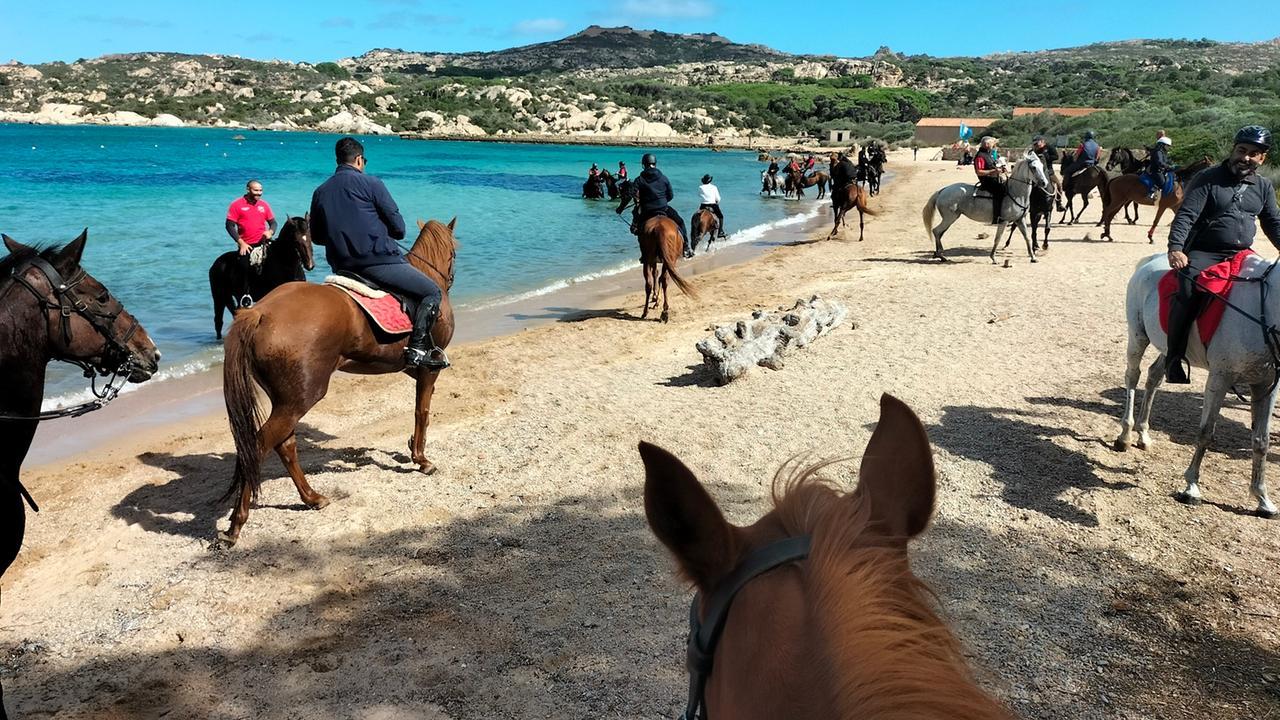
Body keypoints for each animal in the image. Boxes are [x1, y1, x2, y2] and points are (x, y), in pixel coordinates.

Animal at [218, 219, 457, 546]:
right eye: (454, 252)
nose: (451, 277)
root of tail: (259, 312)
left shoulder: (414, 370)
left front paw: (412, 449)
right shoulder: (428, 370)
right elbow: (422, 413)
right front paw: (421, 459)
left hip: (287, 400)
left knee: (285, 445)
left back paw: (312, 498)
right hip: (299, 399)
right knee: (258, 447)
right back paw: (236, 525)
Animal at [617, 185, 696, 323]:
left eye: (634, 212)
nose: (633, 229)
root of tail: (660, 228)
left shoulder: (654, 260)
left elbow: (655, 275)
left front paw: (655, 299)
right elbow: (657, 276)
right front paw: (656, 300)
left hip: (650, 258)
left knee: (650, 282)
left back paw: (649, 311)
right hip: (667, 260)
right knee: (663, 280)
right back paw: (663, 312)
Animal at [1115, 252, 1280, 518]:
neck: (1263, 309)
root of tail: (1152, 259)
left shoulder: (1266, 385)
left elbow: (1261, 441)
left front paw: (1262, 498)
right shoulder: (1219, 378)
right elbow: (1205, 433)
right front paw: (1191, 488)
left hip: (1169, 348)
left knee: (1153, 377)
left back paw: (1143, 434)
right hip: (1137, 335)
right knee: (1133, 376)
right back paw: (1125, 435)